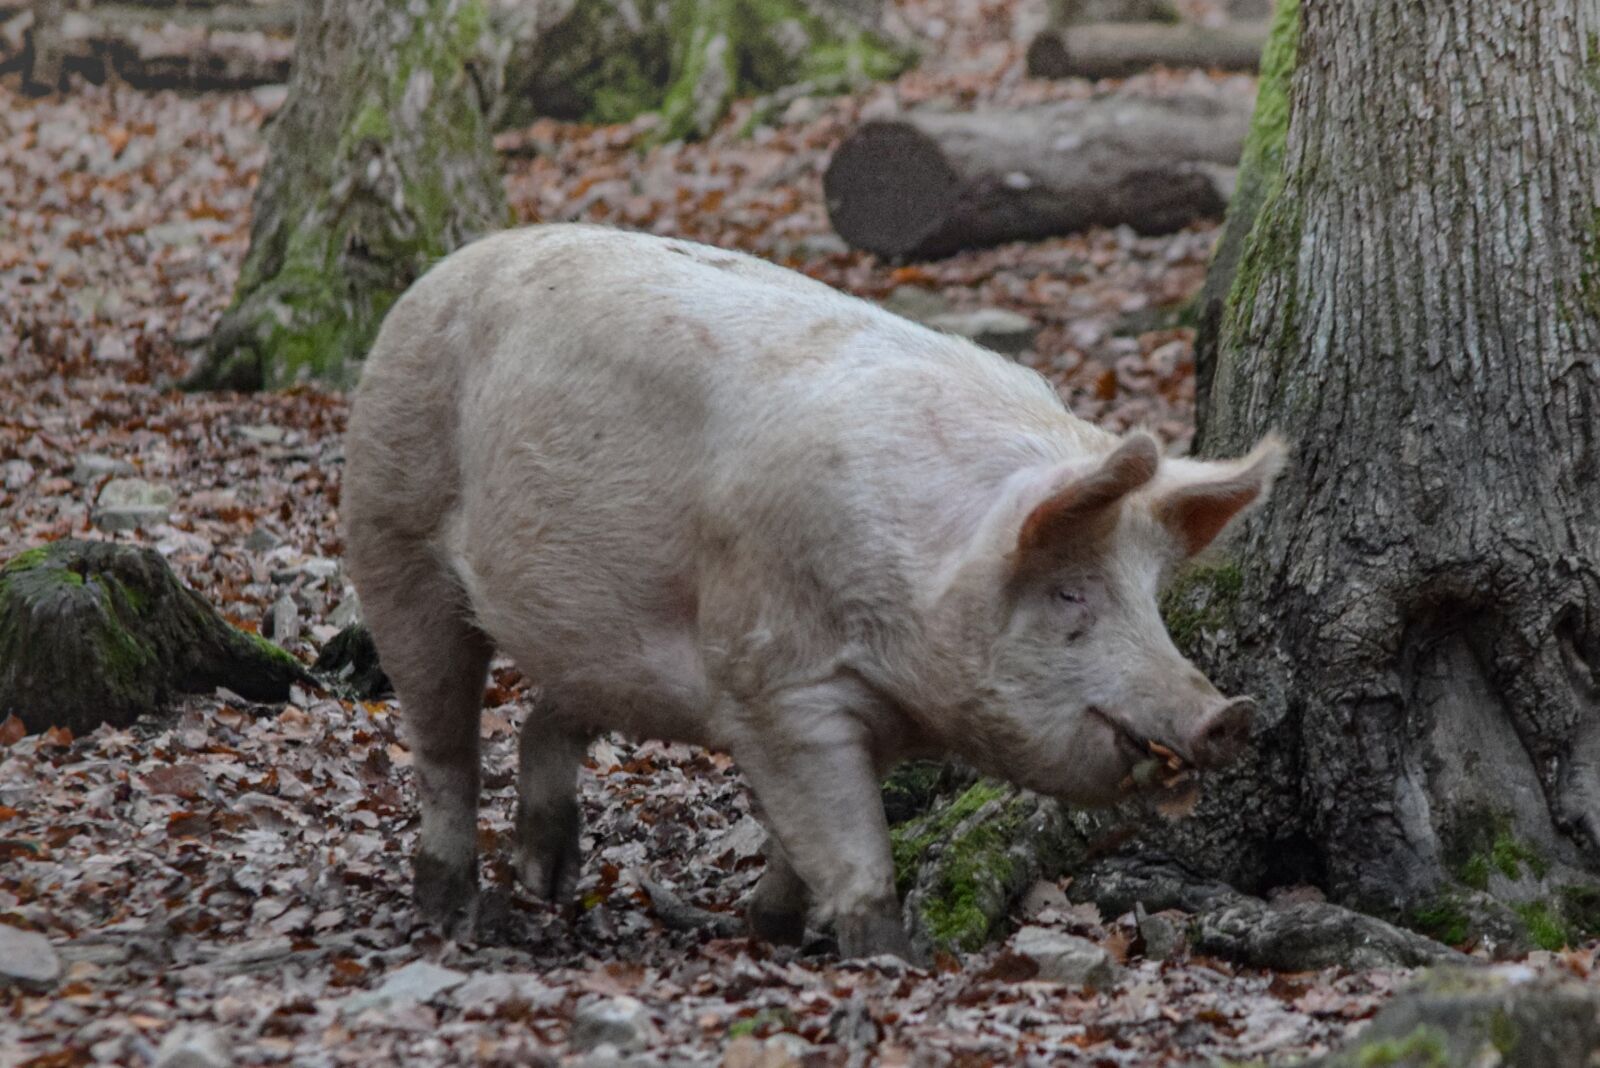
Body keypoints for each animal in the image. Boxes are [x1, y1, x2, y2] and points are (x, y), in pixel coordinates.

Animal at [342, 224, 1284, 961]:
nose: (1227, 714)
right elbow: (848, 842)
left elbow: (804, 840)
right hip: (390, 529)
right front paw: (888, 961)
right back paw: (456, 914)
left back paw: (549, 882)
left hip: (597, 639)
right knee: (445, 740)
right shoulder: (777, 683)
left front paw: (774, 933)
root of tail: (433, 277)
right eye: (1070, 596)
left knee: (550, 714)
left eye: (1150, 596)